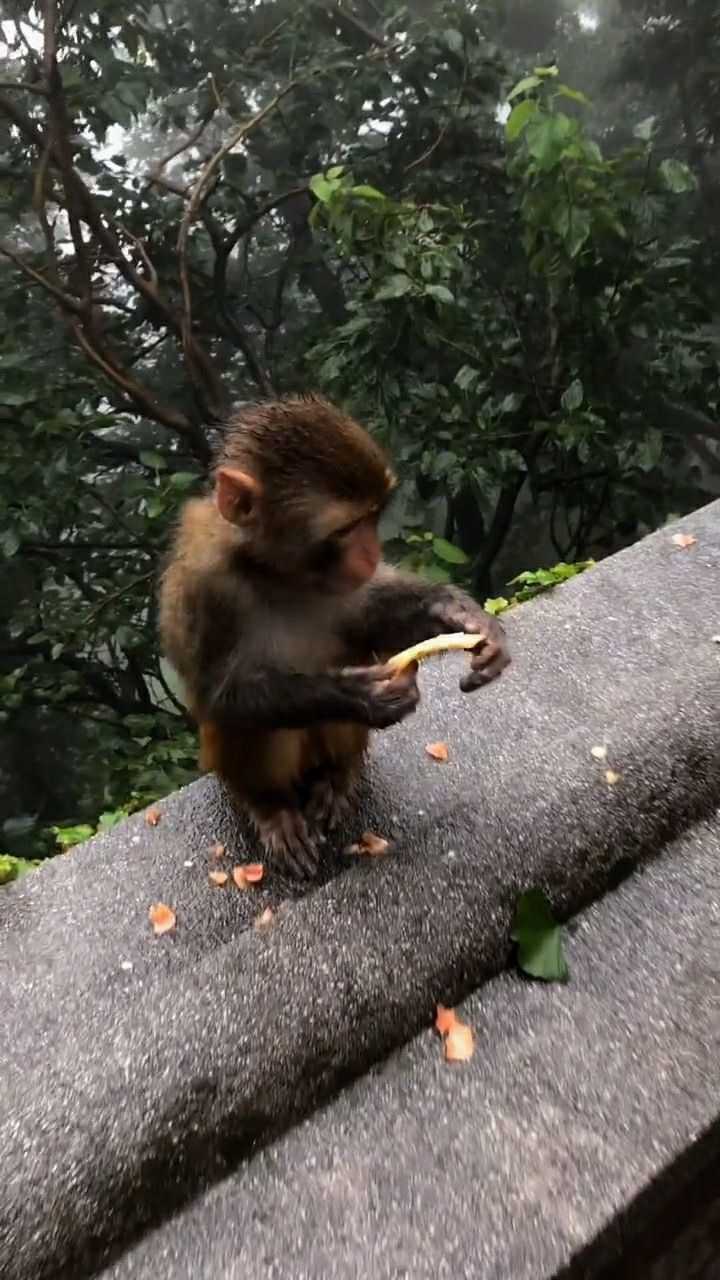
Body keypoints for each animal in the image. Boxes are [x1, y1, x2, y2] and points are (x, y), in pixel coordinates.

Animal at [158, 396, 504, 880]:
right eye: (344, 530)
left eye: (373, 517)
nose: (371, 552)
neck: (275, 571)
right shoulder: (203, 585)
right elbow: (217, 697)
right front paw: (359, 695)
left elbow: (372, 616)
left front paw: (460, 614)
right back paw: (268, 805)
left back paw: (338, 777)